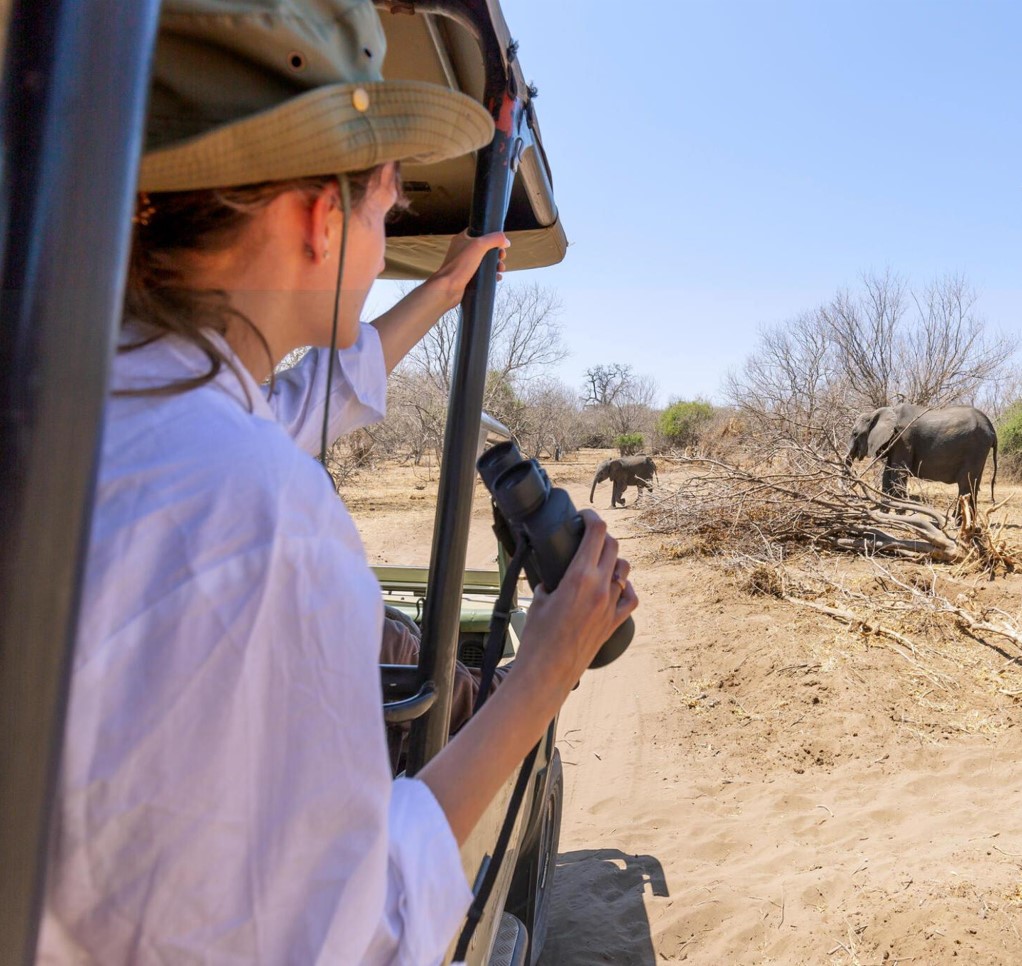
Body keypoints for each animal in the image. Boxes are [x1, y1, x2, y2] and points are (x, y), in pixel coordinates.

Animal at [846, 402, 997, 517]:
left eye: (855, 434)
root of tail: (992, 429)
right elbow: (887, 473)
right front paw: (884, 511)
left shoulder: (903, 438)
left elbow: (898, 473)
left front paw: (900, 513)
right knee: (973, 485)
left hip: (975, 448)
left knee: (965, 484)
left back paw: (957, 522)